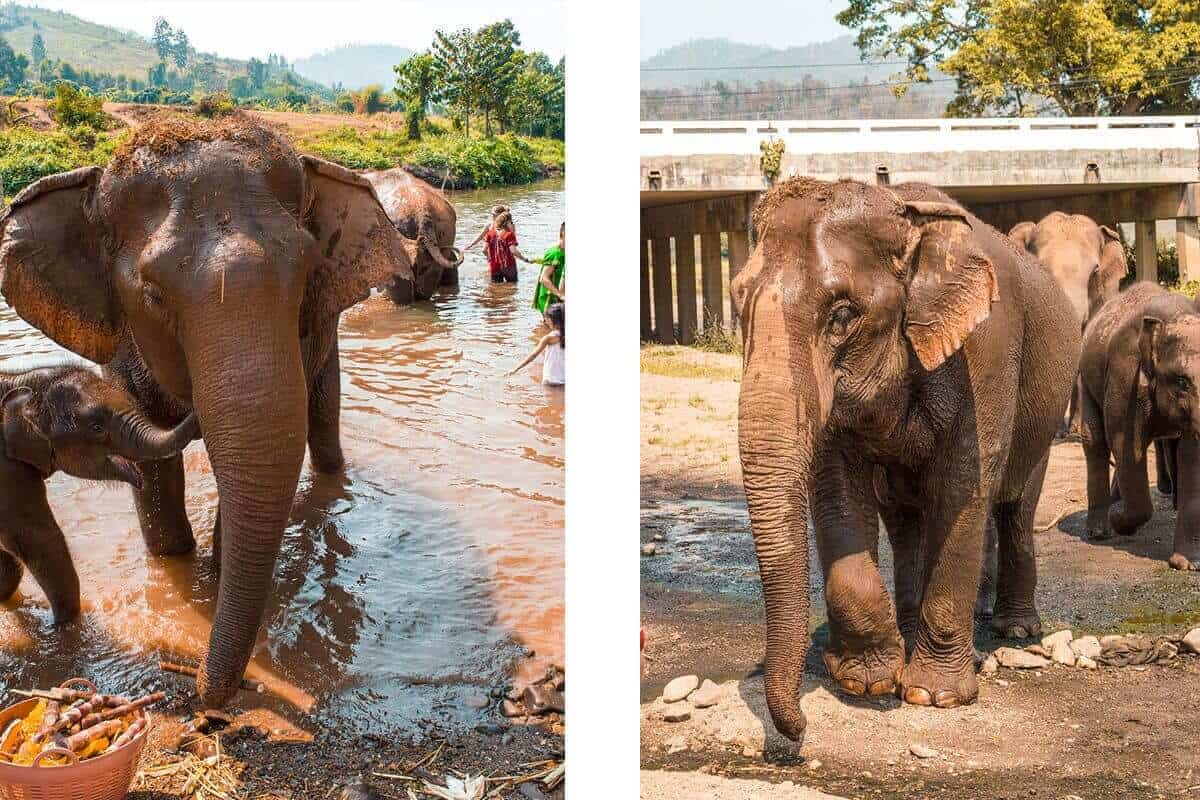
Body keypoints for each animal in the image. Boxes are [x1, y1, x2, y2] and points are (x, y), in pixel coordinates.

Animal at [733, 177, 1080, 741]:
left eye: (842, 316)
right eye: (738, 301)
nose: (799, 732)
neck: (905, 212)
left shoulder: (987, 353)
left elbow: (962, 491)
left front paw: (932, 696)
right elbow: (836, 492)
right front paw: (866, 680)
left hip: (1047, 414)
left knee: (1014, 508)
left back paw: (1014, 627)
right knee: (905, 520)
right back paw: (912, 623)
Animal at [1077, 281, 1200, 570]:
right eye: (1181, 382)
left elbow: (1191, 456)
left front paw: (1187, 564)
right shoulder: (1125, 379)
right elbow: (1124, 443)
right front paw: (1119, 519)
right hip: (1085, 380)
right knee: (1095, 440)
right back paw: (1099, 531)